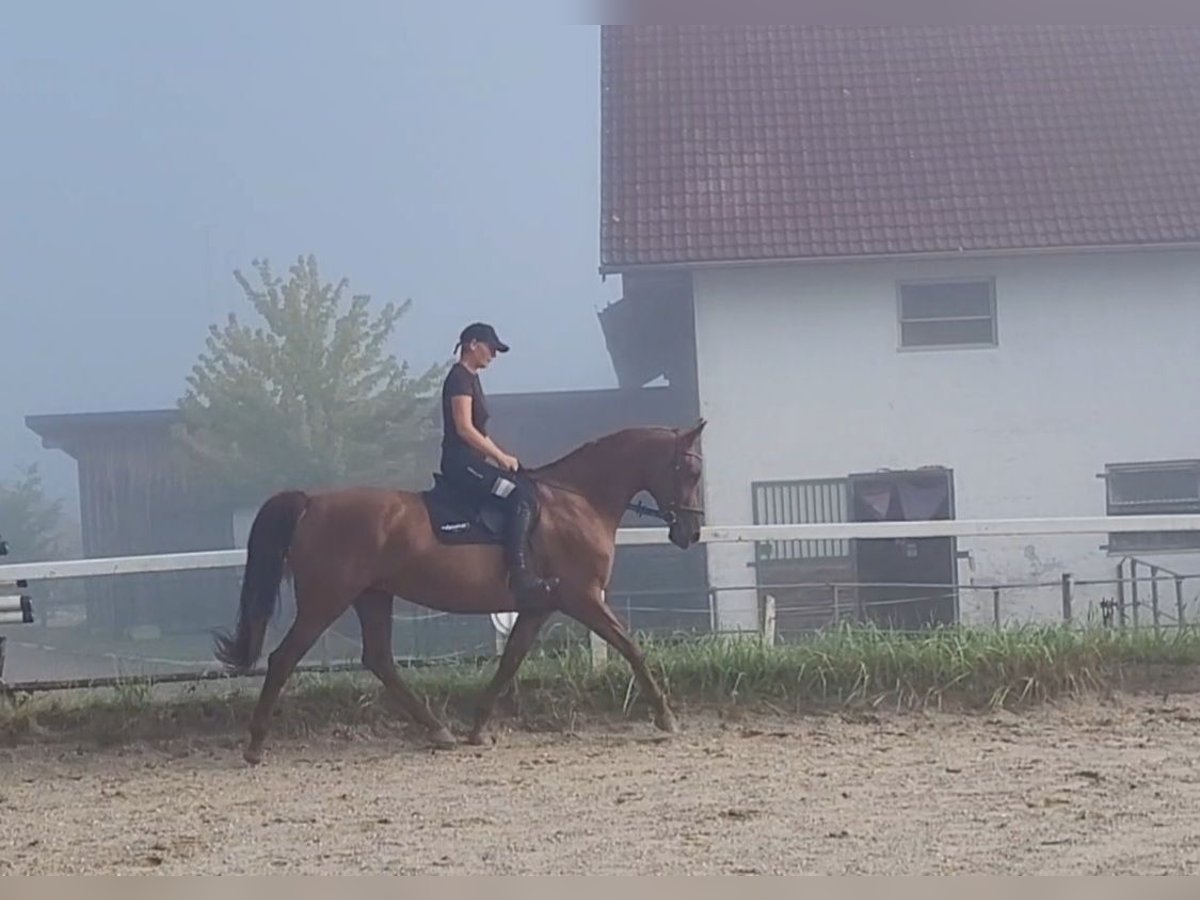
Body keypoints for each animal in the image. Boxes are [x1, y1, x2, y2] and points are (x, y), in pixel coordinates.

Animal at [213, 420, 700, 763]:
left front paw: (478, 728)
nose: (691, 532)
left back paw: (438, 730)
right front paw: (666, 717)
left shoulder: (539, 607)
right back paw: (255, 745)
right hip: (326, 600)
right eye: (691, 469)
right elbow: (632, 648)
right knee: (284, 659)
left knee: (379, 659)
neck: (576, 500)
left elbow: (510, 661)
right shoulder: (584, 598)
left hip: (373, 596)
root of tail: (312, 502)